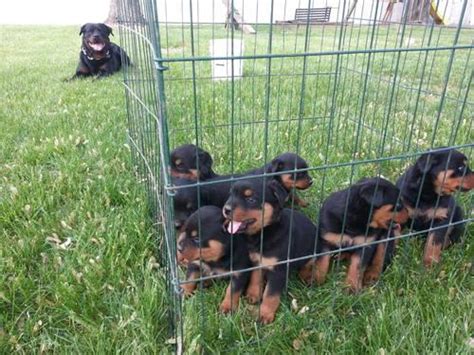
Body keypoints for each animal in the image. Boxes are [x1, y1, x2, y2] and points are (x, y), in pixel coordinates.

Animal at [223, 179, 320, 324]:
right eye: (230, 195)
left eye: (251, 199)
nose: (226, 209)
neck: (264, 232)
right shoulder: (256, 260)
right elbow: (255, 277)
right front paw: (253, 295)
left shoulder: (278, 270)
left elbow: (270, 295)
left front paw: (264, 315)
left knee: (310, 262)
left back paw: (306, 275)